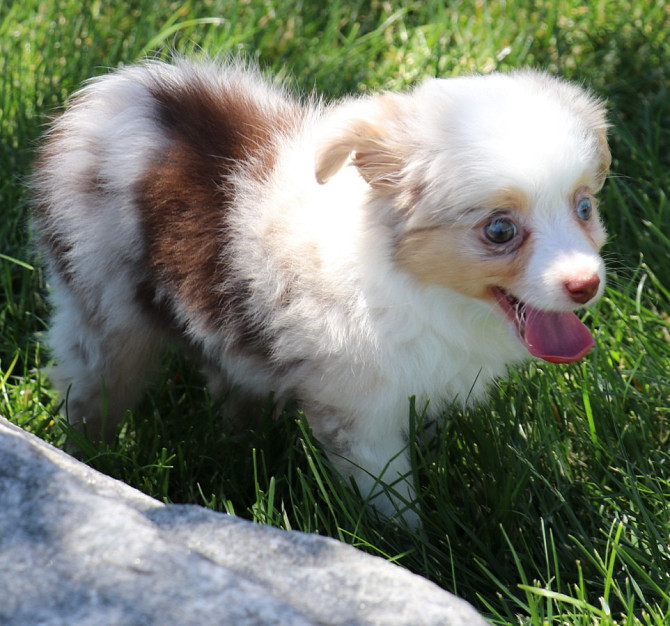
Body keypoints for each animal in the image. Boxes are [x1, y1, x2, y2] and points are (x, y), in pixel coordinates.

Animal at [32, 61, 616, 524]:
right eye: (499, 230)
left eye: (585, 207)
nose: (586, 285)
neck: (408, 278)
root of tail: (122, 94)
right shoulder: (358, 411)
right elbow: (390, 493)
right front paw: (413, 547)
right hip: (100, 307)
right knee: (93, 386)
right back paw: (87, 459)